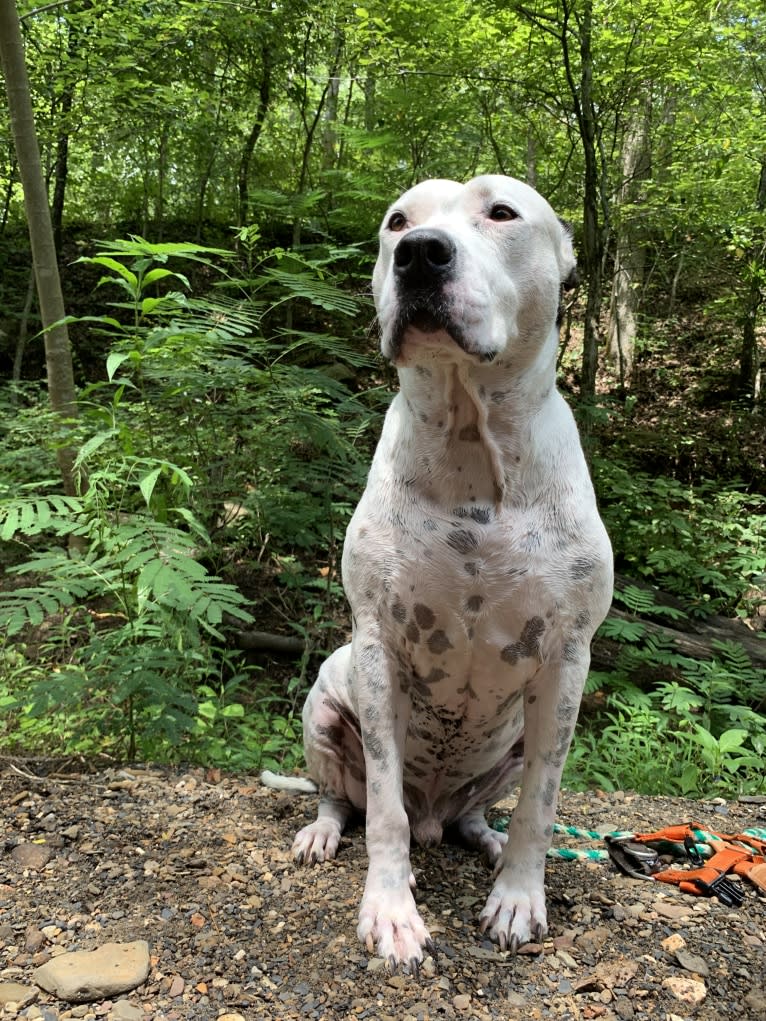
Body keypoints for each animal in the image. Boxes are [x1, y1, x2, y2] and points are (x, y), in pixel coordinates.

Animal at [267, 175, 616, 971]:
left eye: (503, 212)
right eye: (398, 221)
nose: (420, 254)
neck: (470, 449)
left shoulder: (566, 664)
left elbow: (542, 806)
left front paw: (519, 896)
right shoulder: (378, 648)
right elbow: (384, 809)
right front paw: (391, 910)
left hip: (514, 742)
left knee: (477, 812)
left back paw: (485, 839)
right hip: (323, 709)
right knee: (349, 799)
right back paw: (325, 831)